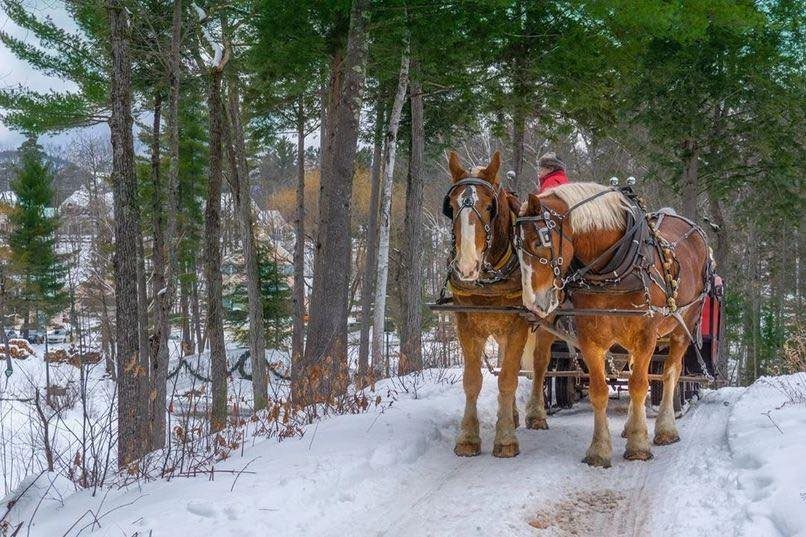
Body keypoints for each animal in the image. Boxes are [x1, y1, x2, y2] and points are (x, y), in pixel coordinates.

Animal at [442, 150, 554, 458]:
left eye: (490, 206)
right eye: (451, 206)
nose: (467, 266)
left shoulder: (519, 324)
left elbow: (508, 378)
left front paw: (505, 440)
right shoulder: (465, 321)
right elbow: (472, 380)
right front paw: (468, 438)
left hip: (543, 323)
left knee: (539, 364)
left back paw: (535, 413)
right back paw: (513, 414)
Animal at [514, 182, 711, 467]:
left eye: (540, 240)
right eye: (515, 246)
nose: (532, 303)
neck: (614, 270)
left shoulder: (646, 336)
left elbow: (640, 385)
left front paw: (639, 446)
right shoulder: (590, 337)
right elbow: (599, 391)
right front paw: (599, 450)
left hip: (683, 326)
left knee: (670, 373)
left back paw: (665, 429)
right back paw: (630, 426)